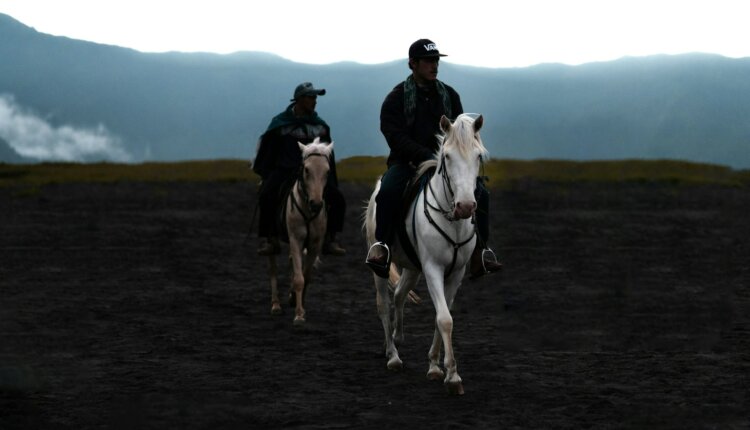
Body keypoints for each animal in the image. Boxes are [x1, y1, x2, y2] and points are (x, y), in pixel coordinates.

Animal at [268, 139, 332, 324]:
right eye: (306, 169)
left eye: (327, 171)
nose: (316, 204)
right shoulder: (296, 239)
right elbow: (298, 278)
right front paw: (298, 315)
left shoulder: (315, 244)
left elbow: (306, 275)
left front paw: (298, 304)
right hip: (270, 238)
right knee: (272, 267)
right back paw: (276, 305)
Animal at [362, 112, 488, 394]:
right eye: (447, 156)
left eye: (478, 156)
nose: (466, 206)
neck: (453, 221)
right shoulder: (433, 269)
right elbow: (445, 319)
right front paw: (452, 377)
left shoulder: (455, 274)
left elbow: (443, 316)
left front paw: (435, 366)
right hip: (381, 266)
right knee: (383, 304)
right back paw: (393, 355)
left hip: (411, 268)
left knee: (399, 294)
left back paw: (397, 337)